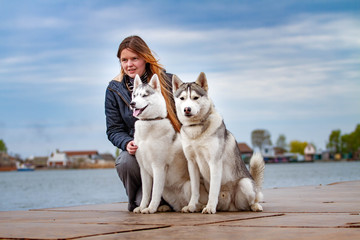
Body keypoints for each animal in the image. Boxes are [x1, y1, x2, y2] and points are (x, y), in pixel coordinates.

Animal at [131, 74, 207, 213]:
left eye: (144, 95)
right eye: (135, 95)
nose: (132, 104)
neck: (149, 123)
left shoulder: (159, 167)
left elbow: (154, 192)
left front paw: (150, 208)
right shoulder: (143, 169)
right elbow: (146, 193)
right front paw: (143, 207)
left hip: (189, 185)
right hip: (166, 192)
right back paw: (165, 207)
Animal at [172, 71, 264, 214]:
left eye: (195, 98)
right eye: (182, 98)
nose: (187, 109)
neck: (196, 131)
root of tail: (230, 207)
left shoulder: (214, 163)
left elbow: (213, 191)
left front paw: (210, 207)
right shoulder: (192, 164)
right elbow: (194, 191)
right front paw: (192, 206)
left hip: (246, 184)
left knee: (252, 200)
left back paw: (255, 206)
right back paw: (200, 206)